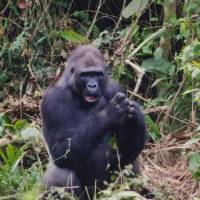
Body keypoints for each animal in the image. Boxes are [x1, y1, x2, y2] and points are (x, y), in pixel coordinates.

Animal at [41, 45, 145, 198]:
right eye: (85, 75)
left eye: (97, 74)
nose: (92, 86)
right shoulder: (53, 99)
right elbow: (59, 150)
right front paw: (109, 114)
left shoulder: (114, 88)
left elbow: (126, 151)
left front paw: (136, 114)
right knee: (62, 173)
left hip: (105, 190)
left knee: (129, 162)